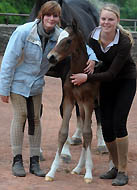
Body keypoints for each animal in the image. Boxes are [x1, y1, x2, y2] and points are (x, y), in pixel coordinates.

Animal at [28, 0, 108, 162]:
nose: (51, 57)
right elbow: (38, 110)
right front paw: (38, 151)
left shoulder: (66, 75)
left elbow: (63, 110)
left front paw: (65, 152)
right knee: (80, 108)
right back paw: (77, 136)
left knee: (97, 108)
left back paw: (102, 144)